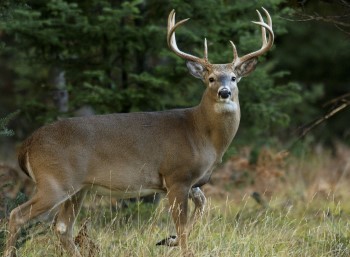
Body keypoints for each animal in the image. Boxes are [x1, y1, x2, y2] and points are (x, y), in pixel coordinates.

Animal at [4, 8, 274, 256]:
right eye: (210, 78)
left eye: (234, 78)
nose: (224, 92)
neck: (202, 135)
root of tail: (26, 145)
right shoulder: (176, 175)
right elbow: (183, 228)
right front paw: (177, 242)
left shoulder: (193, 182)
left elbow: (202, 206)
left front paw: (168, 239)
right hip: (54, 181)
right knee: (17, 215)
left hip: (78, 188)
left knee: (61, 227)